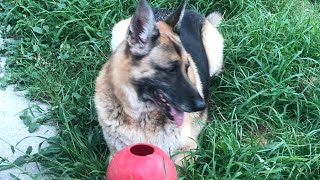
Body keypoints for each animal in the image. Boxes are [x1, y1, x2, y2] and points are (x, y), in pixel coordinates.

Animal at [94, 0, 222, 164]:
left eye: (187, 68)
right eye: (171, 70)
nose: (202, 106)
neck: (141, 116)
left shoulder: (188, 149)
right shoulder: (115, 153)